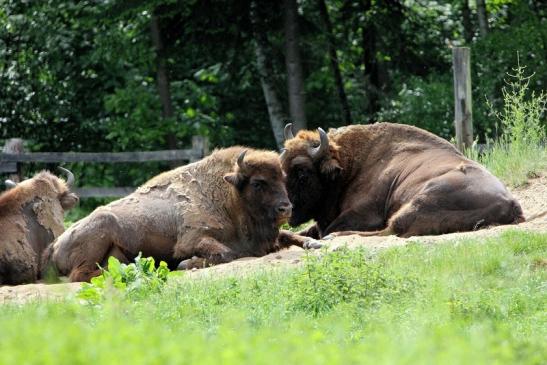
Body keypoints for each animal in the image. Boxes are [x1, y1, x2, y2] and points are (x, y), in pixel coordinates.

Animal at [46, 146, 322, 282]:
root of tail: (55, 244)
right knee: (80, 275)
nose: (286, 208)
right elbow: (226, 254)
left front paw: (314, 242)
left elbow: (292, 236)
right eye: (257, 183)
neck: (227, 197)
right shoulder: (192, 240)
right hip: (100, 232)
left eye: (283, 178)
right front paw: (186, 264)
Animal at [282, 122, 528, 239]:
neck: (348, 165)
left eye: (302, 172)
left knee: (390, 230)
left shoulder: (365, 214)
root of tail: (511, 202)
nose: (286, 209)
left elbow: (328, 228)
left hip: (421, 200)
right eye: (281, 167)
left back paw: (333, 238)